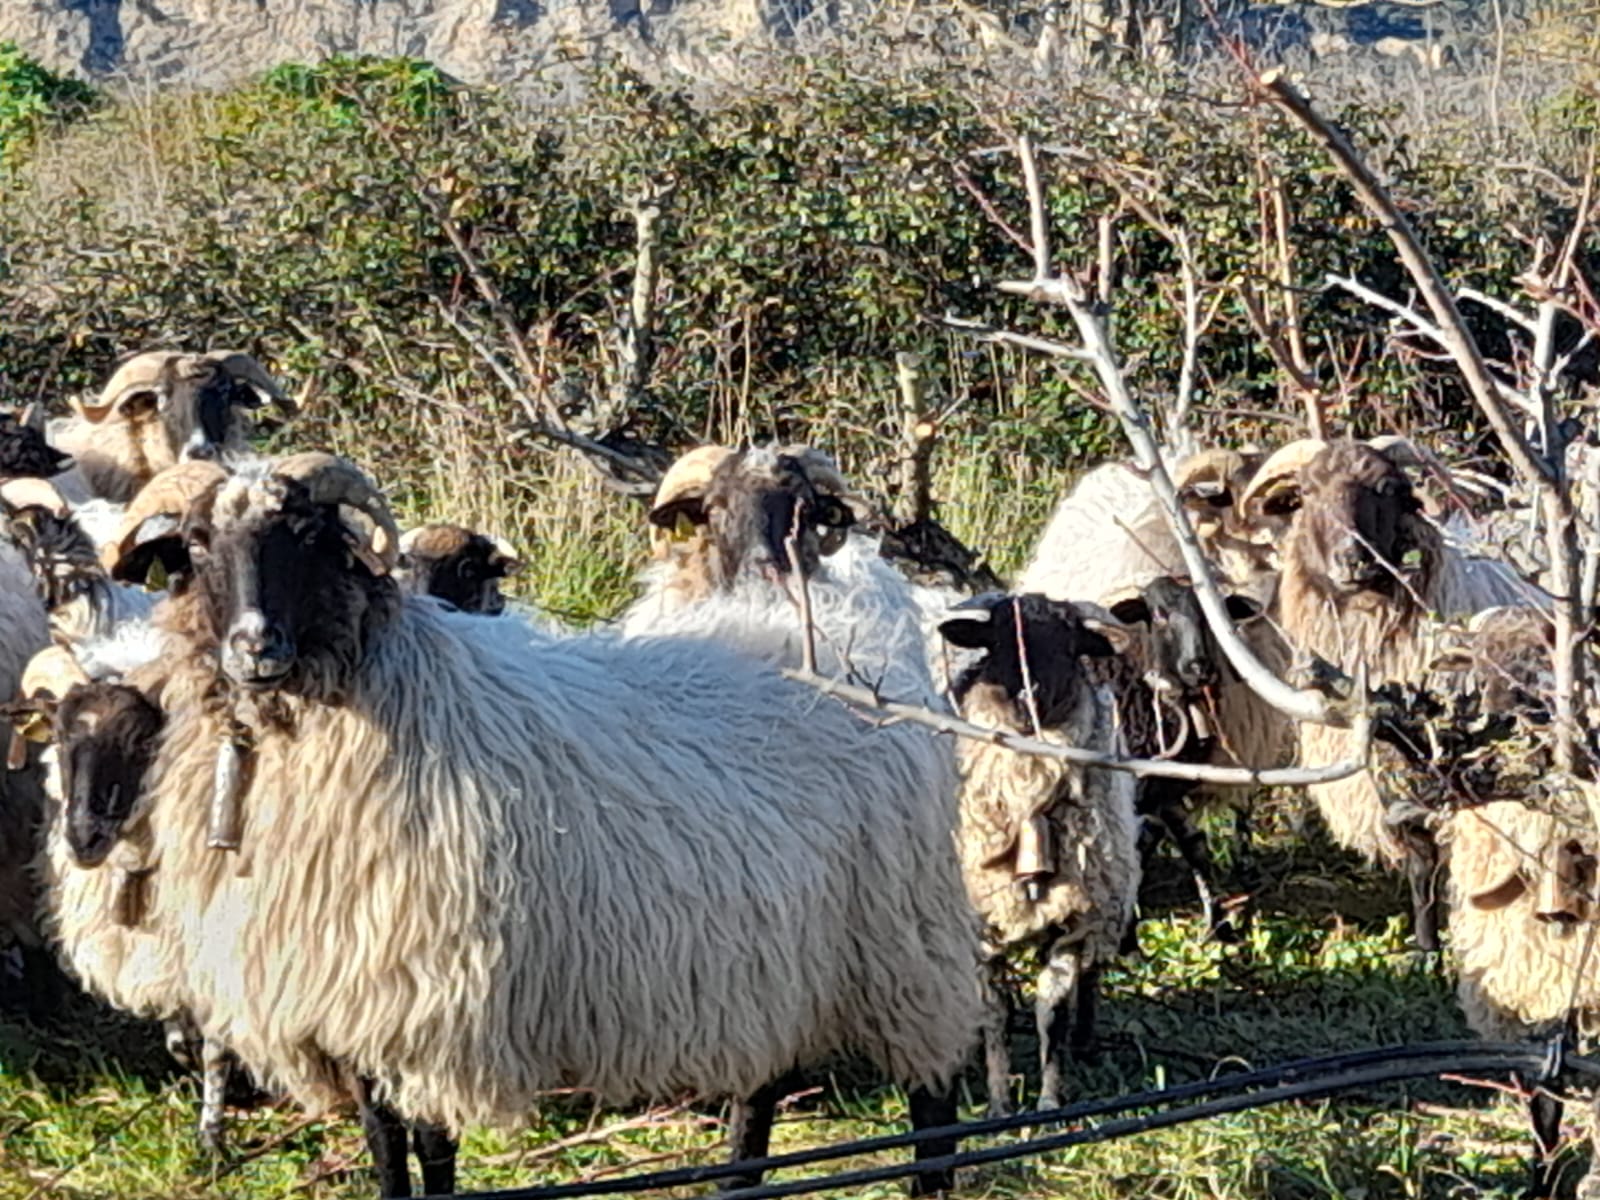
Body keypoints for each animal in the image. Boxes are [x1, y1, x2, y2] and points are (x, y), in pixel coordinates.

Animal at [42, 452, 984, 1199]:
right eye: (198, 545)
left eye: (308, 536)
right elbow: (384, 1149)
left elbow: (432, 1153)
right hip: (779, 957)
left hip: (903, 943)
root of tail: (851, 622)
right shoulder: (344, 1004)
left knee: (933, 1103)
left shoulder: (427, 1003)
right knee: (760, 1094)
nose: (254, 647)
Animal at [939, 592, 1142, 1116]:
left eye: (1070, 645)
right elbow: (996, 1016)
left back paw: (1085, 1042)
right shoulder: (980, 927)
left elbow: (1050, 1013)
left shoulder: (1073, 922)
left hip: (1108, 901)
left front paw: (1050, 1103)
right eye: (997, 641)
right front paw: (998, 1105)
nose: (1030, 694)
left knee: (1090, 979)